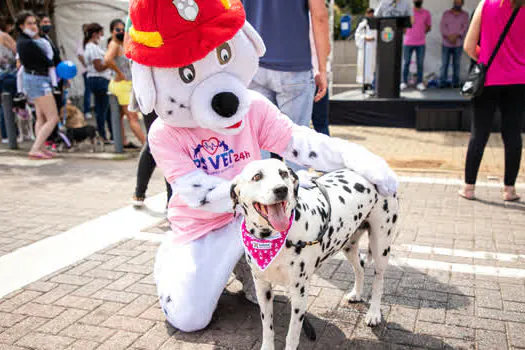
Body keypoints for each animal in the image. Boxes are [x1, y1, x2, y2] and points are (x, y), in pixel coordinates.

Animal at [231, 159, 400, 350]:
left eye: (283, 173)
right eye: (257, 176)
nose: (281, 189)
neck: (272, 238)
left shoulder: (300, 293)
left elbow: (292, 335)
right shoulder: (262, 288)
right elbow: (267, 328)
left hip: (381, 245)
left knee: (379, 280)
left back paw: (374, 313)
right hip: (348, 244)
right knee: (360, 267)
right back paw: (356, 294)